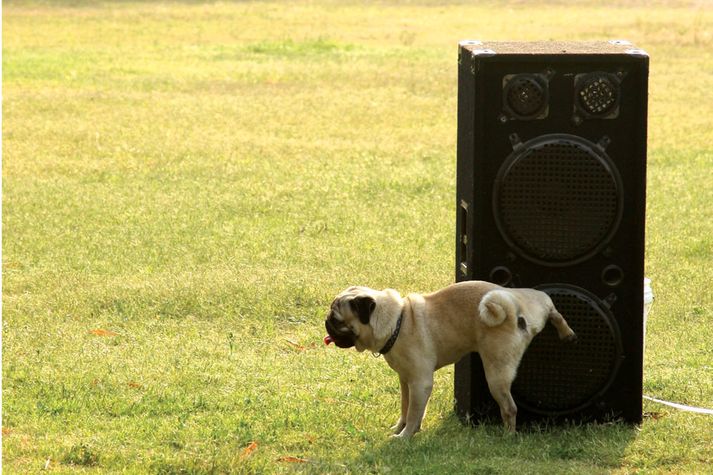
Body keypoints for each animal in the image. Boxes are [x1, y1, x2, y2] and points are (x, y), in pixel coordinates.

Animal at [326, 280, 576, 440]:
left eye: (337, 320)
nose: (326, 322)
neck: (397, 320)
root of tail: (514, 310)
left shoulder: (420, 382)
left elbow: (415, 411)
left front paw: (405, 436)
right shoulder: (406, 381)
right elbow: (406, 408)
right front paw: (401, 428)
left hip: (496, 373)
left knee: (509, 408)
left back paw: (509, 436)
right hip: (533, 303)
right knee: (550, 305)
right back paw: (567, 332)